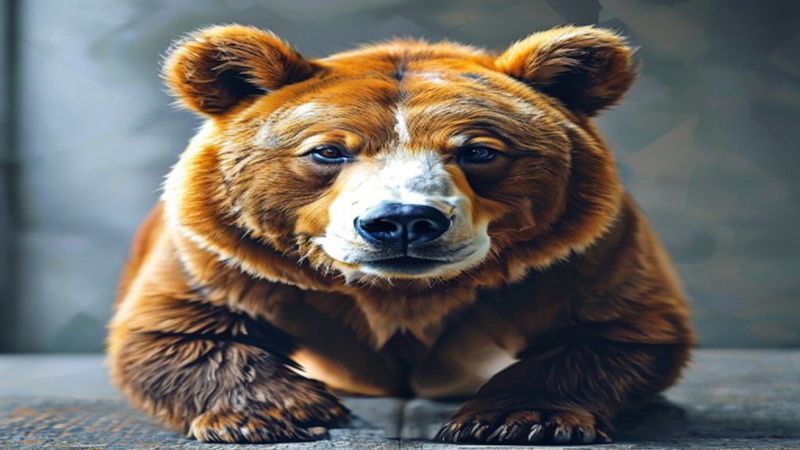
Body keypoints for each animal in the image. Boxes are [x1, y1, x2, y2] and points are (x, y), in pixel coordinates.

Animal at [107, 24, 693, 445]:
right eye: (327, 150)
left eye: (479, 150)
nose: (404, 220)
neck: (397, 293)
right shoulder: (225, 255)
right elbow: (176, 330)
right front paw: (281, 413)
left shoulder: (580, 256)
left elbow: (617, 331)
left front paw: (517, 418)